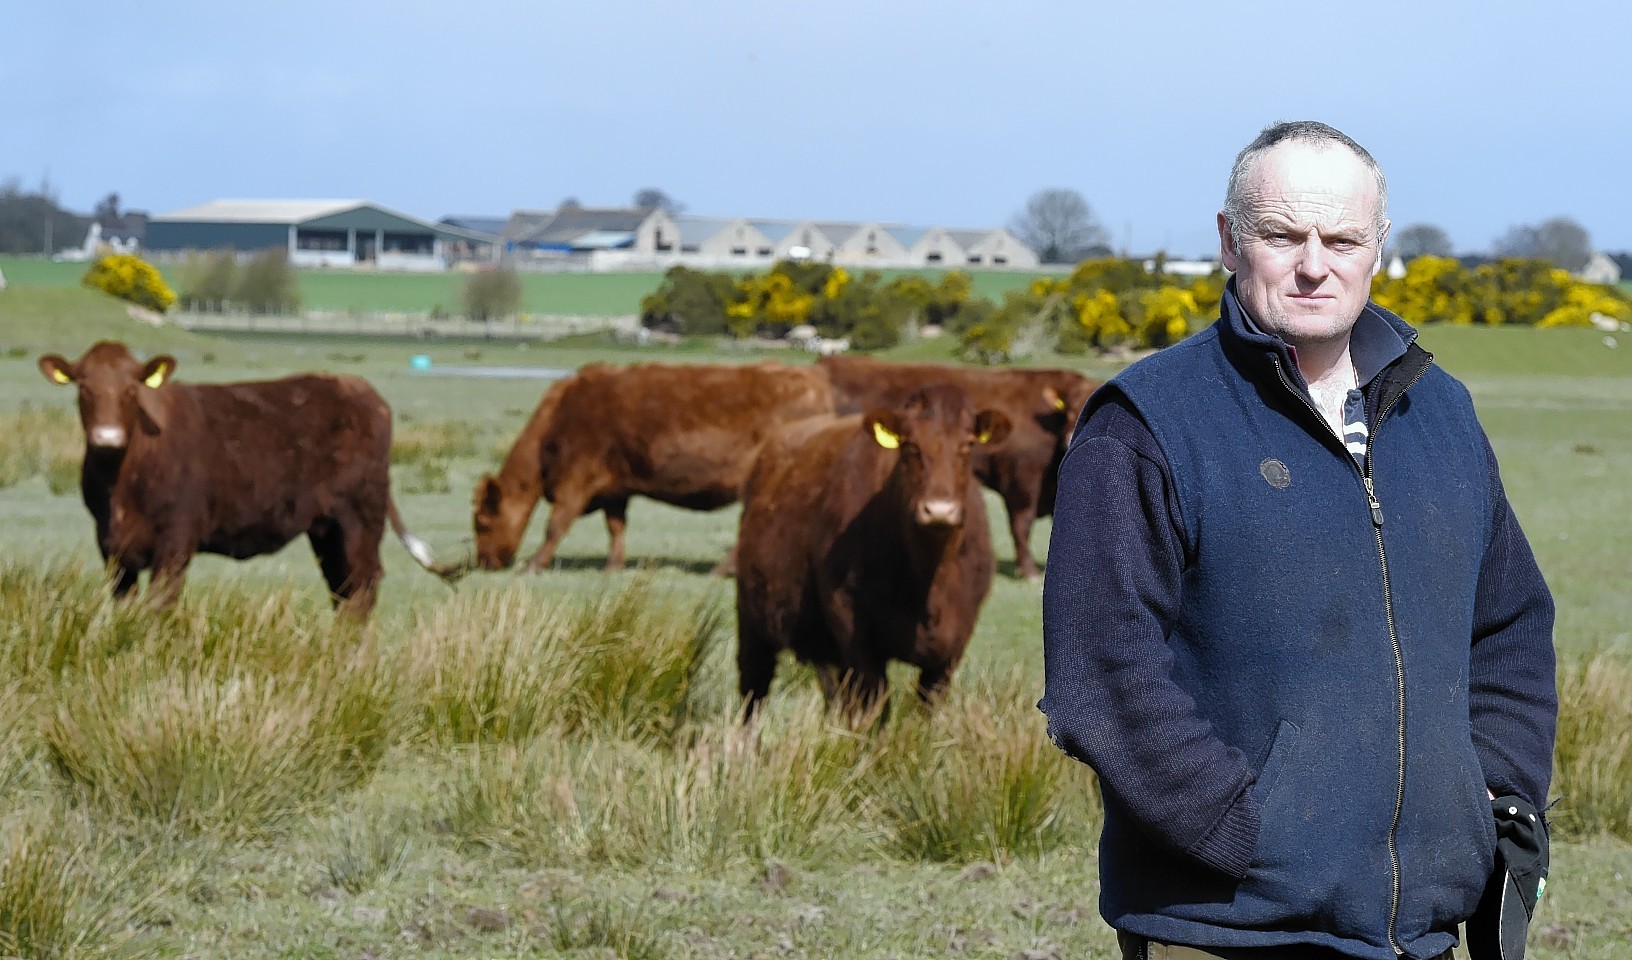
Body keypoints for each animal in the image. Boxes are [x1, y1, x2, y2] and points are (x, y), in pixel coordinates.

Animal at [37, 341, 437, 617]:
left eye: (132, 390)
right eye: (83, 387)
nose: (106, 436)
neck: (120, 490)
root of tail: (355, 385)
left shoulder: (177, 539)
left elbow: (159, 606)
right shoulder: (111, 547)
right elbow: (125, 607)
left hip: (360, 517)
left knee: (362, 586)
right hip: (327, 529)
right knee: (343, 588)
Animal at [470, 357, 829, 571]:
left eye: (482, 523)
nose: (485, 562)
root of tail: (810, 379)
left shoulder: (576, 481)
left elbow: (555, 525)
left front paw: (533, 565)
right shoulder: (614, 489)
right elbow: (616, 526)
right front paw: (614, 566)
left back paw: (723, 570)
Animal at [737, 386, 1011, 715]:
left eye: (967, 444)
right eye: (909, 446)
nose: (939, 510)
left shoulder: (952, 645)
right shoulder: (853, 628)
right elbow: (874, 704)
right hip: (752, 621)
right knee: (753, 691)